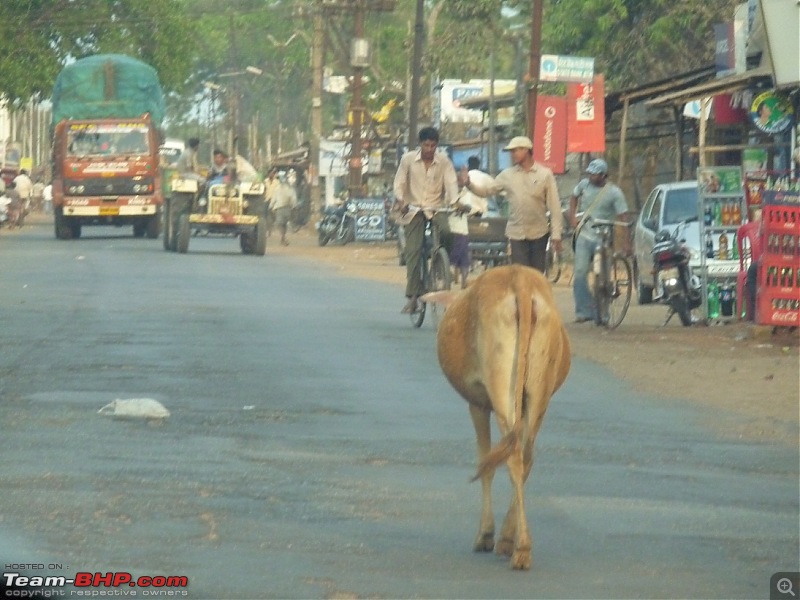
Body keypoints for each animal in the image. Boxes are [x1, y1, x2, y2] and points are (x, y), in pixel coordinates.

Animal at [424, 264, 568, 568]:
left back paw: (520, 548)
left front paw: (485, 535)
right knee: (525, 456)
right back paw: (514, 541)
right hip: (538, 394)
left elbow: (486, 464)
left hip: (501, 385)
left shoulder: (477, 404)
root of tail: (521, 281)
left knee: (510, 457)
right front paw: (501, 537)